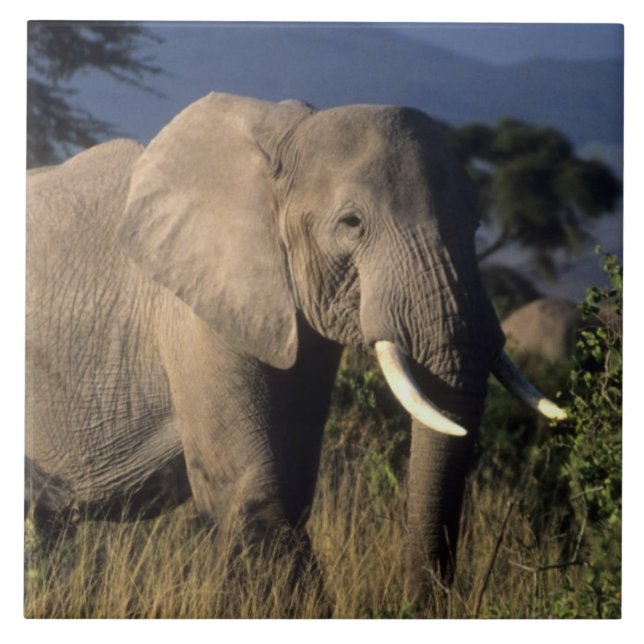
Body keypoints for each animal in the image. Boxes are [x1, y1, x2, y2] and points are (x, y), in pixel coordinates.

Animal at [25, 92, 565, 601]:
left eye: (476, 224)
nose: (418, 602)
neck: (283, 136)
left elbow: (295, 486)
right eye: (351, 223)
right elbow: (251, 495)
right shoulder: (195, 316)